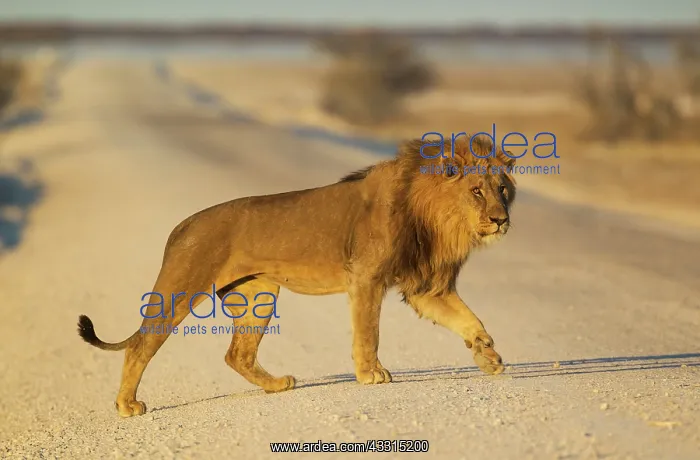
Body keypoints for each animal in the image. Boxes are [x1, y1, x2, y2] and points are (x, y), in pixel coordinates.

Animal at [77, 133, 517, 417]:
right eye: (477, 191)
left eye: (503, 190)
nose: (502, 220)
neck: (437, 219)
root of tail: (182, 226)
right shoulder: (366, 278)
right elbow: (368, 333)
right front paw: (371, 374)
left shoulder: (426, 287)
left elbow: (470, 320)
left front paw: (488, 356)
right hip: (182, 288)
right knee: (141, 345)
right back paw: (127, 405)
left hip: (258, 296)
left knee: (237, 354)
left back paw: (277, 385)